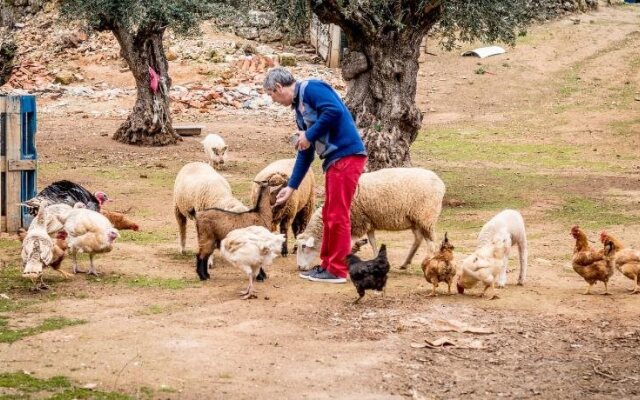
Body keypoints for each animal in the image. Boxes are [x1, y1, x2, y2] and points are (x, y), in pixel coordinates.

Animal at [296, 167, 442, 270]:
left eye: (304, 246)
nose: (299, 267)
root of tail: (440, 182)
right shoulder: (368, 222)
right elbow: (373, 242)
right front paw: (377, 259)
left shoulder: (357, 224)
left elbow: (349, 244)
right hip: (415, 220)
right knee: (418, 239)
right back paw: (405, 263)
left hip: (426, 217)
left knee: (432, 244)